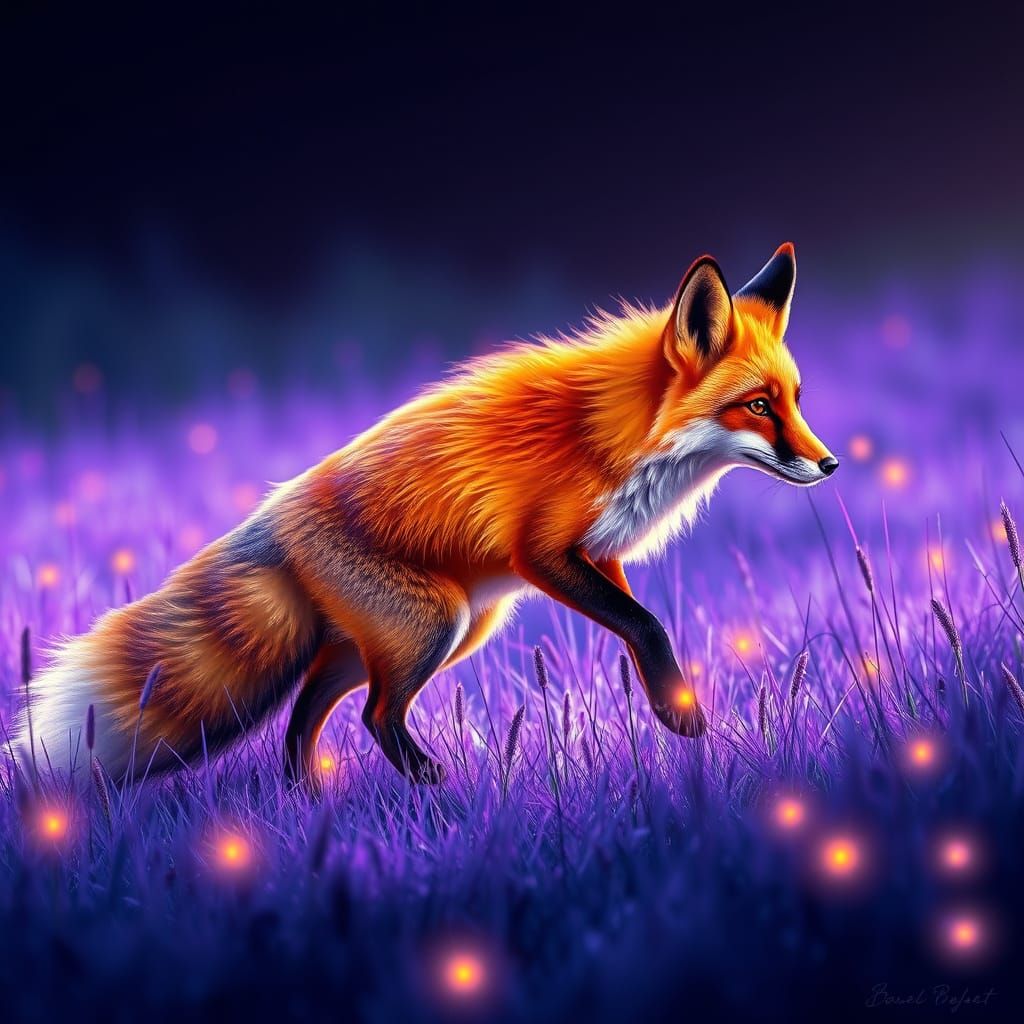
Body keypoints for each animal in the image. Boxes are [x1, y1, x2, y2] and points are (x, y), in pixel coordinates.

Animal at [16, 243, 837, 791]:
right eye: (757, 406)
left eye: (796, 399)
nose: (829, 465)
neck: (619, 435)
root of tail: (272, 518)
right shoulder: (542, 552)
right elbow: (648, 625)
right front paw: (681, 717)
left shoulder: (599, 554)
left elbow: (641, 623)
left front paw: (674, 705)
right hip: (431, 624)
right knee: (374, 713)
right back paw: (429, 785)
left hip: (421, 632)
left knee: (307, 712)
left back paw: (310, 799)